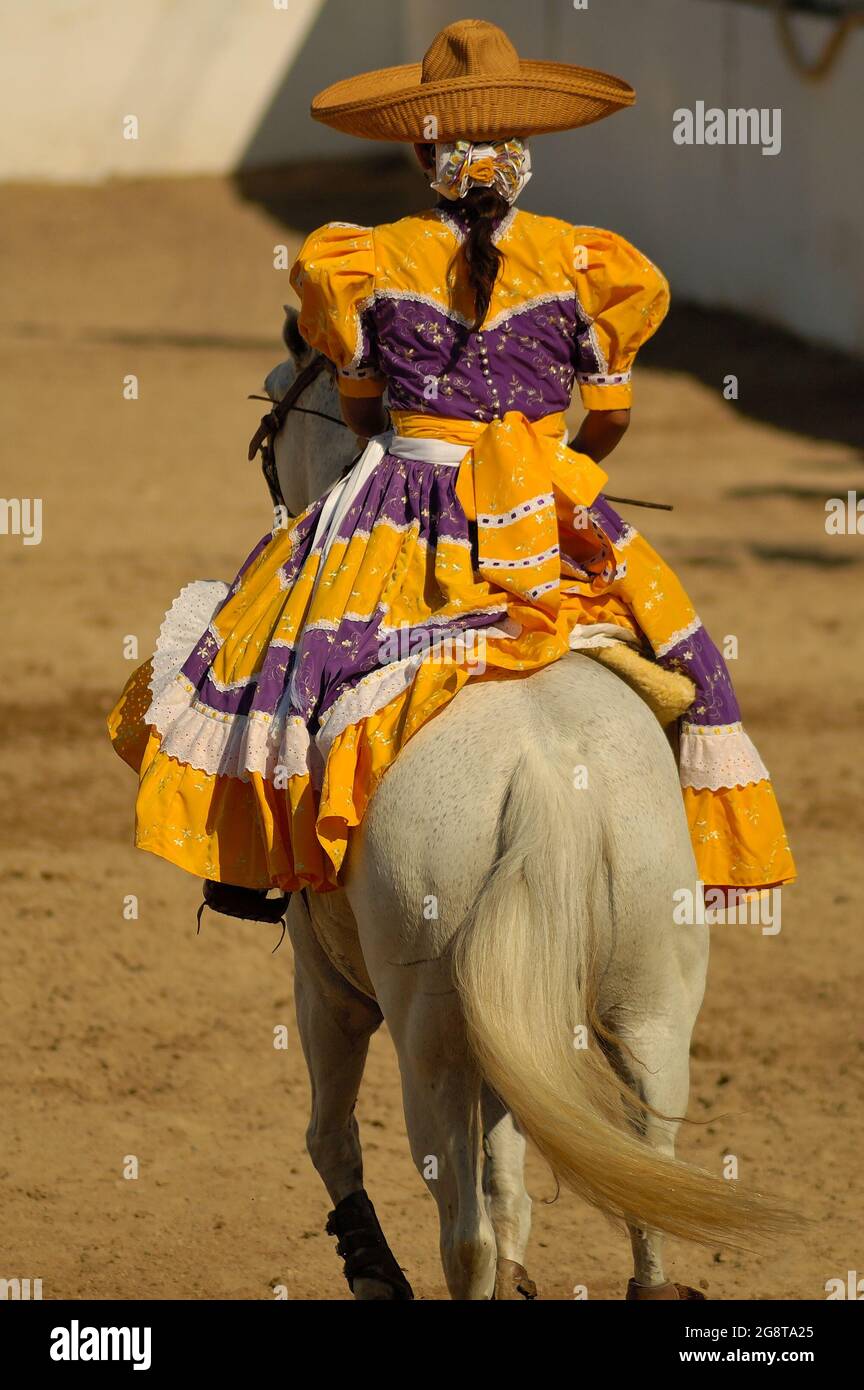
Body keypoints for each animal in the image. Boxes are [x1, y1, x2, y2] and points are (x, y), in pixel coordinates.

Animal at [261, 309, 788, 1295]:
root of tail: (547, 772)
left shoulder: (327, 983)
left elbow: (330, 1138)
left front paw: (370, 1265)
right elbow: (512, 1170)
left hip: (429, 1034)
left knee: (458, 1225)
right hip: (650, 1007)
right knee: (646, 1191)